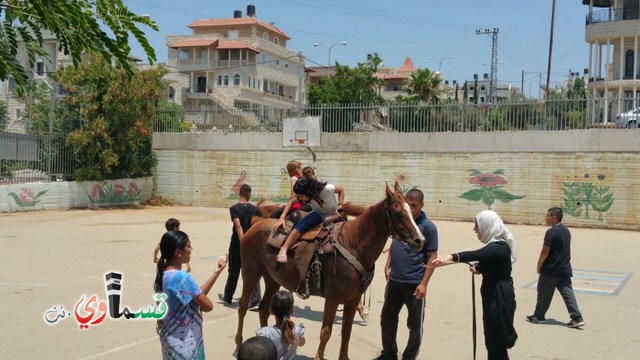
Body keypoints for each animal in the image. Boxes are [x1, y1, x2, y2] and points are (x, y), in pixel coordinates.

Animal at [235, 184, 424, 358]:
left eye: (411, 208)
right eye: (398, 212)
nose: (419, 240)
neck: (353, 245)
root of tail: (257, 223)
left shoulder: (353, 299)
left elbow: (346, 333)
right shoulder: (333, 298)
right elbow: (326, 332)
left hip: (272, 279)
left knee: (264, 309)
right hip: (250, 274)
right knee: (243, 307)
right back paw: (238, 346)